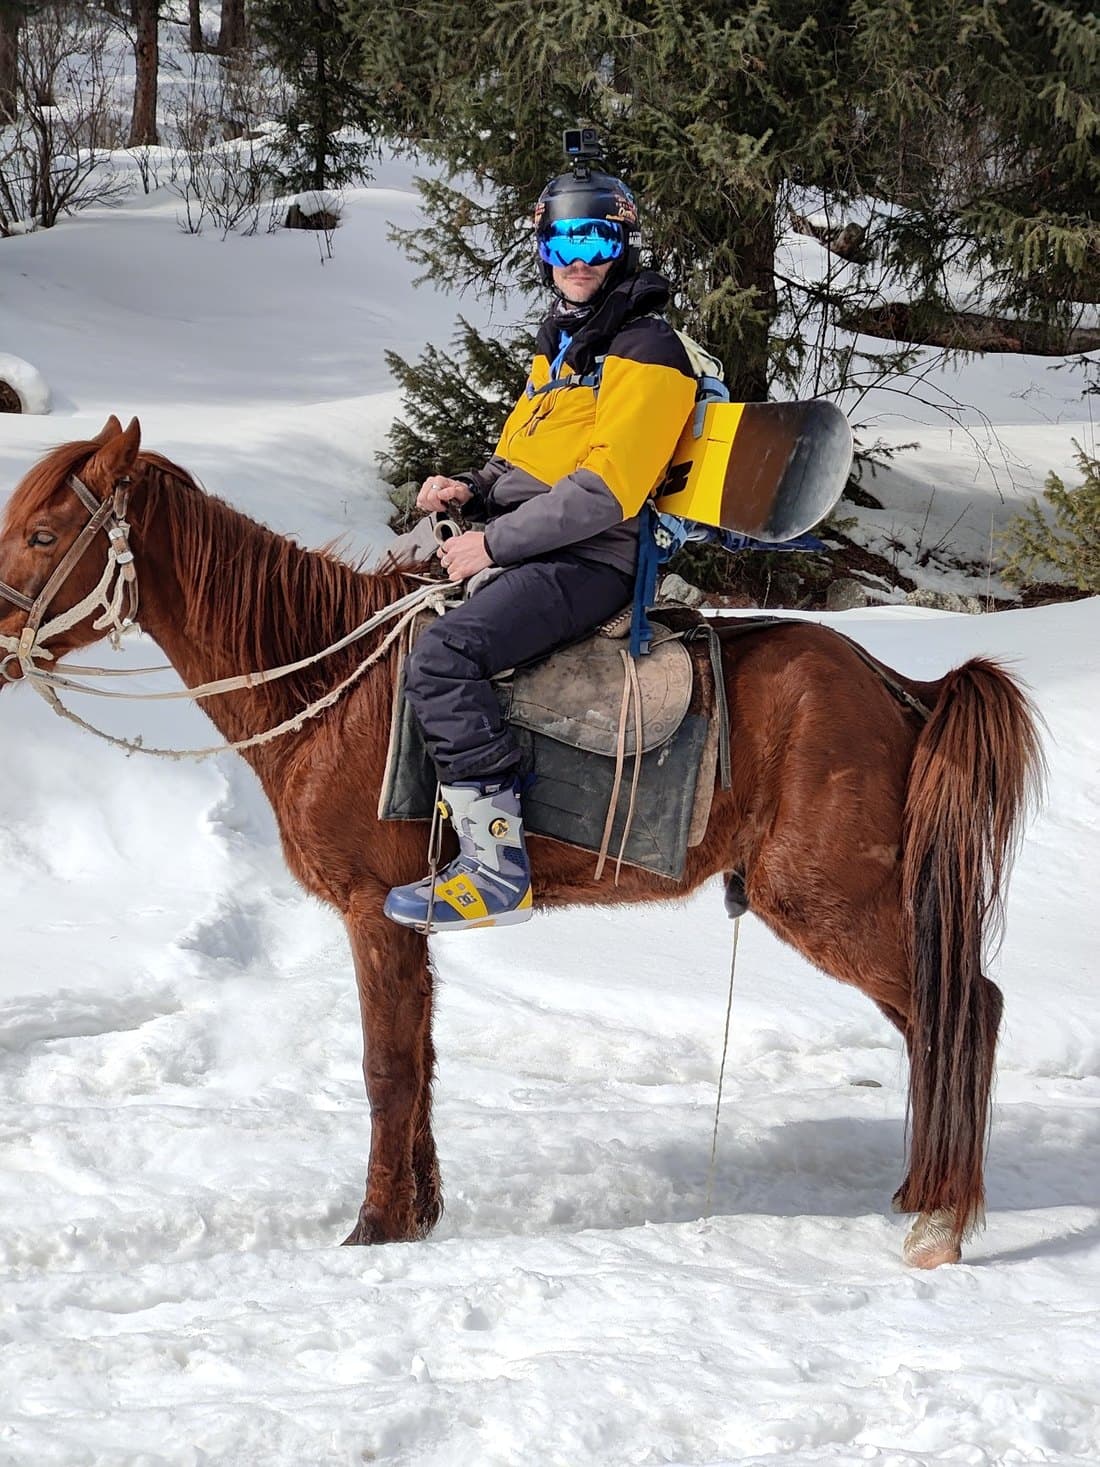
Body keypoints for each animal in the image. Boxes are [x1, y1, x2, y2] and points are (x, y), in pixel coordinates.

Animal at [0, 417, 1043, 1268]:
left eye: (44, 534)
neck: (329, 682)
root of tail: (899, 684)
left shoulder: (373, 916)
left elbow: (386, 1070)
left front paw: (373, 1227)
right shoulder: (407, 926)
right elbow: (418, 1064)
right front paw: (416, 1215)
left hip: (827, 897)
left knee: (968, 1007)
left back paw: (943, 1219)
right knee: (932, 1019)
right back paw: (921, 1189)